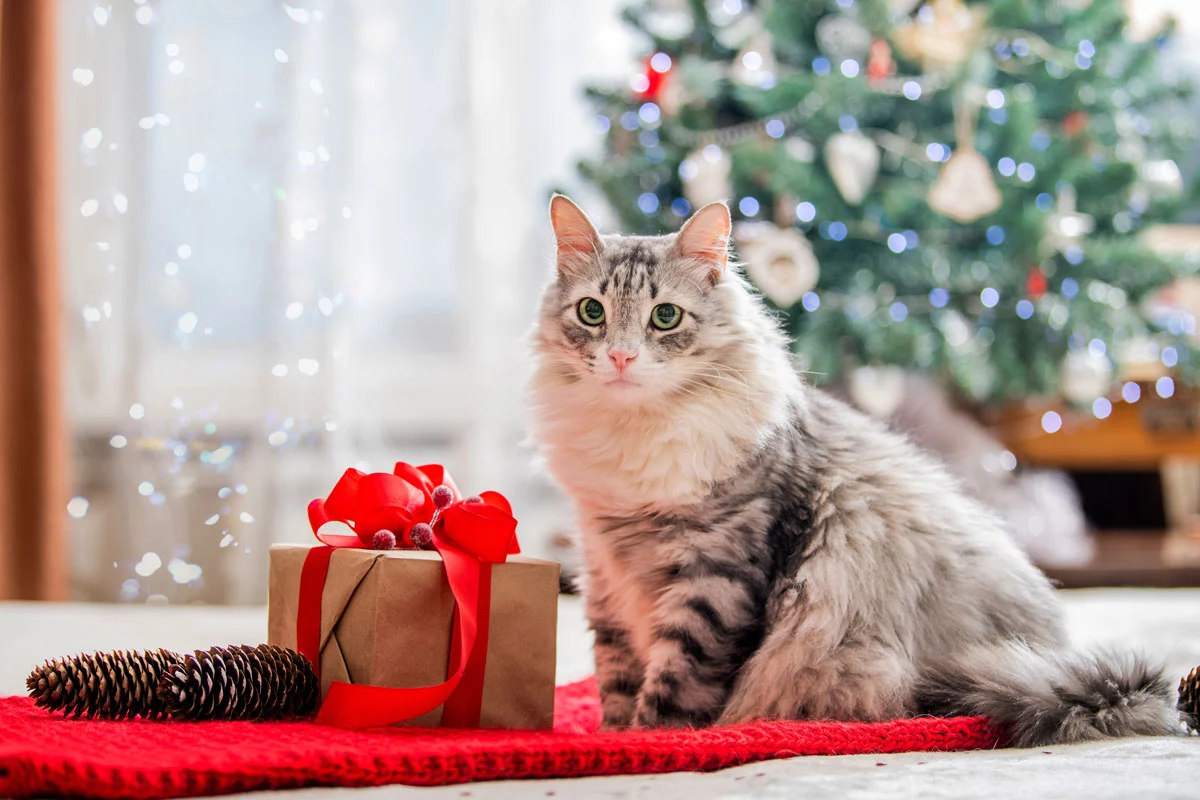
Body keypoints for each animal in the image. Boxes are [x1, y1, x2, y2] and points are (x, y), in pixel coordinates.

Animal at [528, 196, 1180, 748]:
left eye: (664, 317)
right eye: (592, 312)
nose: (621, 357)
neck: (632, 442)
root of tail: (1049, 651)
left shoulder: (716, 574)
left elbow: (677, 680)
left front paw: (648, 741)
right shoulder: (604, 568)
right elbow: (616, 676)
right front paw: (612, 737)